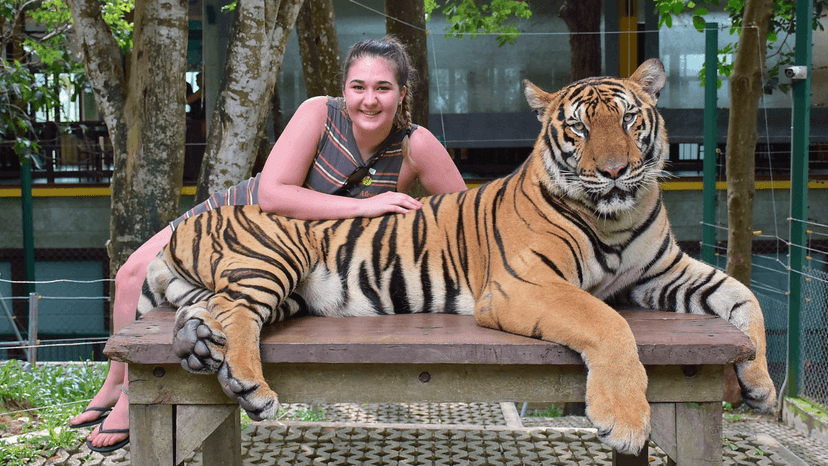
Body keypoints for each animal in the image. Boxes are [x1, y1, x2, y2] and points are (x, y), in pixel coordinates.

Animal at [138, 58, 776, 455]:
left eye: (627, 118)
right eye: (577, 128)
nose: (616, 170)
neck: (614, 215)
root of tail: (190, 220)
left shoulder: (665, 272)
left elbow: (745, 297)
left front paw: (763, 387)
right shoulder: (525, 285)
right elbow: (609, 322)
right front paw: (623, 420)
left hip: (271, 289)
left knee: (209, 310)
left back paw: (198, 346)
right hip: (273, 260)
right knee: (234, 311)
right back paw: (250, 385)